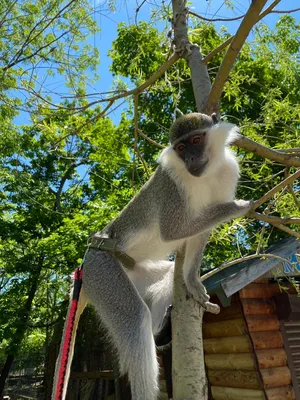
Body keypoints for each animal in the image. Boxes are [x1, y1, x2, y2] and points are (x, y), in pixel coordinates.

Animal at [51, 112, 251, 400]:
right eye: (180, 147)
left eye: (196, 140)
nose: (191, 159)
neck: (206, 174)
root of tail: (83, 271)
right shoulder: (170, 187)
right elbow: (173, 230)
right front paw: (238, 207)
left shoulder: (228, 172)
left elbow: (200, 235)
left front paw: (193, 282)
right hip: (103, 271)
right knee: (134, 317)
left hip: (134, 271)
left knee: (165, 278)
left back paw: (161, 328)